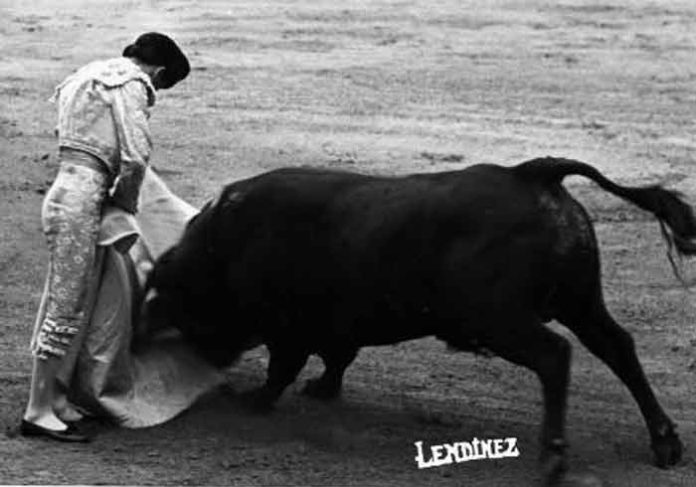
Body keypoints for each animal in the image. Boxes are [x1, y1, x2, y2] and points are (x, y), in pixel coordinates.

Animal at [144, 159, 692, 484]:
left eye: (187, 312)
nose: (213, 360)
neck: (222, 247)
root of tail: (532, 174)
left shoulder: (288, 327)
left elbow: (286, 365)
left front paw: (255, 400)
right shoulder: (334, 324)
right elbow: (337, 356)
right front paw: (322, 389)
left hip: (499, 319)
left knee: (555, 356)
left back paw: (553, 457)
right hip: (580, 302)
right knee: (618, 347)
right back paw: (665, 442)